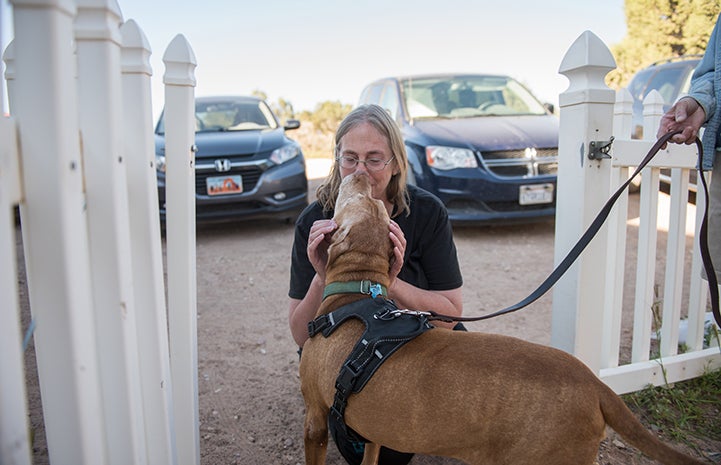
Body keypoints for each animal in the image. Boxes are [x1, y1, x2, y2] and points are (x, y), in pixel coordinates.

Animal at [296, 171, 704, 464]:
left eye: (360, 198)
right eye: (373, 204)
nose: (360, 172)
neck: (359, 287)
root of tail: (596, 385)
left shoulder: (315, 419)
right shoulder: (373, 433)